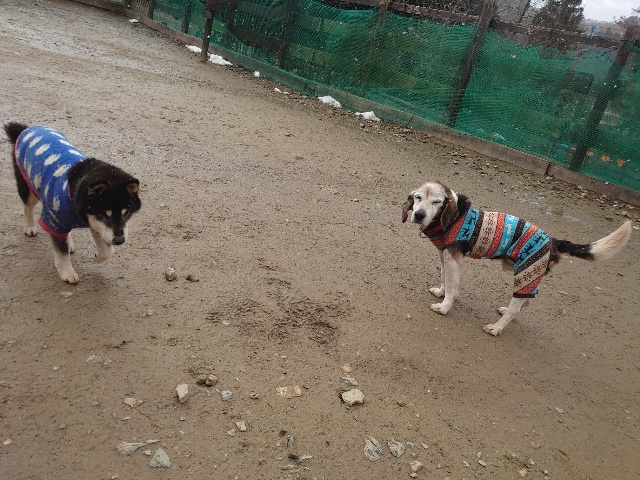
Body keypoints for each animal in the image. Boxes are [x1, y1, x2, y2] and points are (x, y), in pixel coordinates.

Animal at [4, 122, 141, 284]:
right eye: (104, 214)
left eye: (126, 213)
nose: (120, 240)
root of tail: (27, 129)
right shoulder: (55, 221)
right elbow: (61, 252)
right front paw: (67, 273)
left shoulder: (95, 223)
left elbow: (107, 251)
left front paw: (97, 257)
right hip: (29, 189)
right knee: (28, 208)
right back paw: (29, 226)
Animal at [402, 181, 632, 336]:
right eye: (418, 198)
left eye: (437, 201)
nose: (419, 215)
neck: (454, 217)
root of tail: (554, 241)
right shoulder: (444, 255)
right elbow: (444, 279)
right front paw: (441, 292)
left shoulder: (453, 260)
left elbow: (452, 286)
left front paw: (445, 307)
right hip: (530, 277)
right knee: (526, 301)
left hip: (526, 273)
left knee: (515, 308)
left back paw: (496, 327)